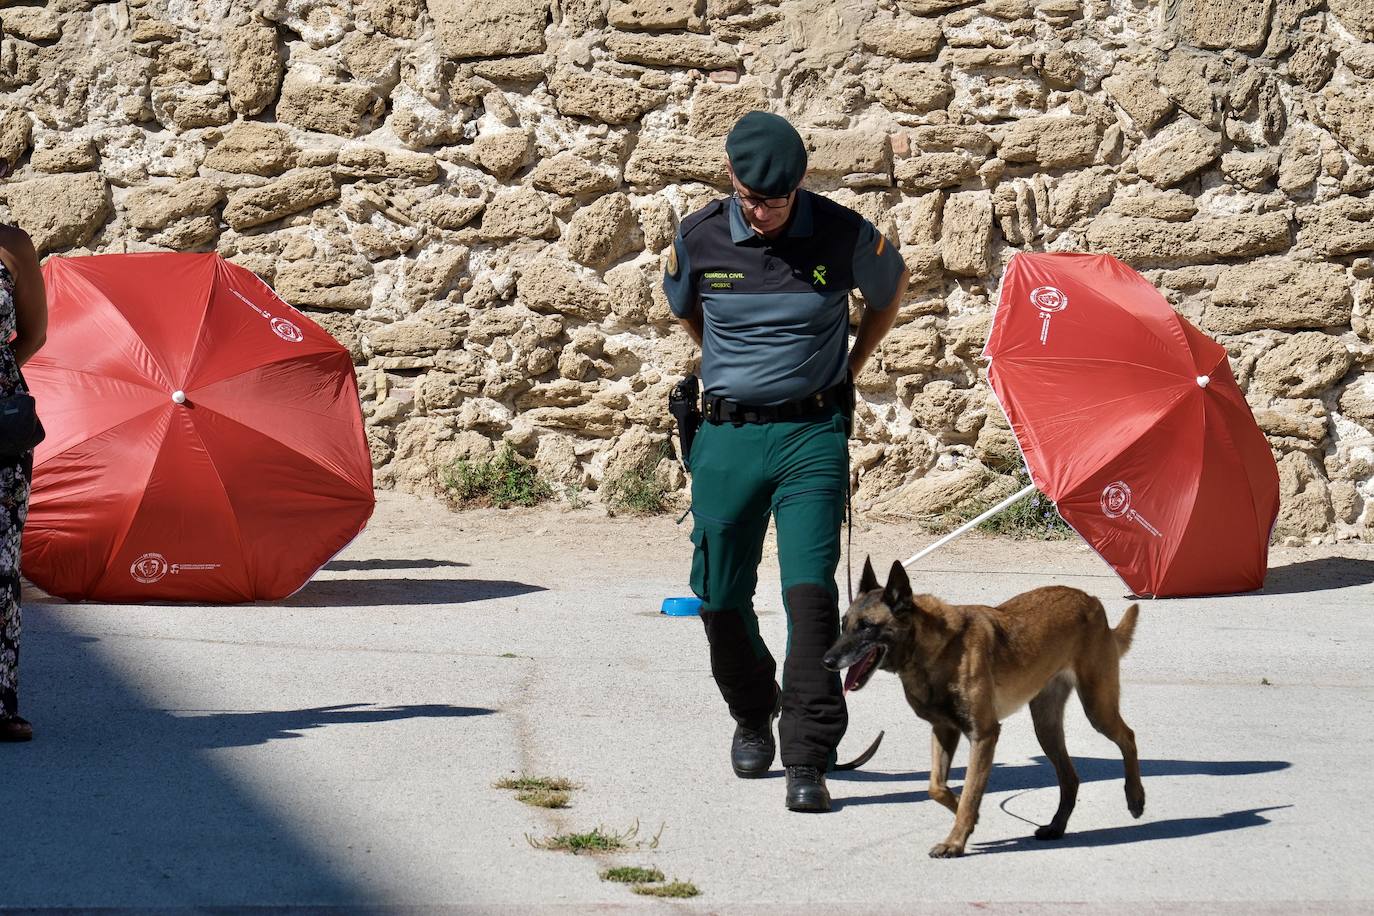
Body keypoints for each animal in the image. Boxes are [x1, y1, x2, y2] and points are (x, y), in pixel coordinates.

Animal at [818, 560, 1143, 862]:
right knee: (1070, 778)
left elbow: (970, 792)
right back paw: (1056, 826)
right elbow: (937, 787)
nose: (827, 661)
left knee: (1128, 737)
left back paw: (1135, 797)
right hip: (1046, 727)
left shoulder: (983, 735)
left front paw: (955, 841)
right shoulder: (944, 731)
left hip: (1097, 708)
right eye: (844, 623)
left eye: (866, 626)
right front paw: (967, 817)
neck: (937, 650)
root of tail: (1091, 600)